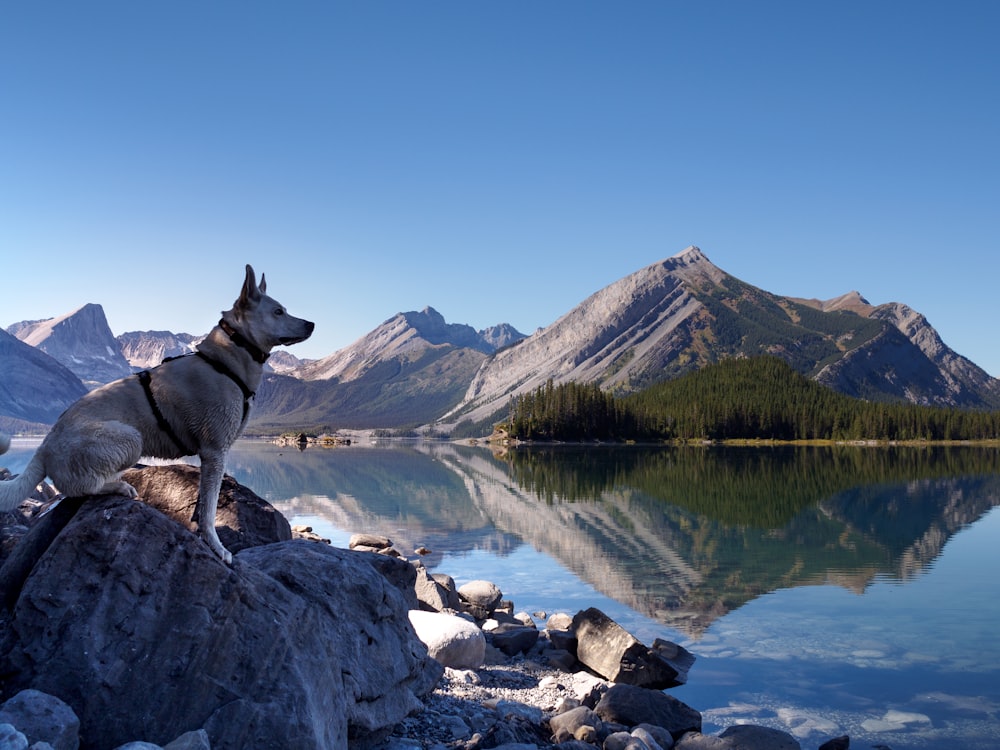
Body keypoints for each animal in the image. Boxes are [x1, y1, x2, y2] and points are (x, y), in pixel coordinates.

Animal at [0, 264, 312, 564]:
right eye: (278, 311)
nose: (312, 323)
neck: (224, 359)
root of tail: (44, 446)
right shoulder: (215, 451)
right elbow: (209, 510)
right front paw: (216, 546)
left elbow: (203, 506)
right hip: (129, 438)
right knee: (78, 487)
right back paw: (118, 487)